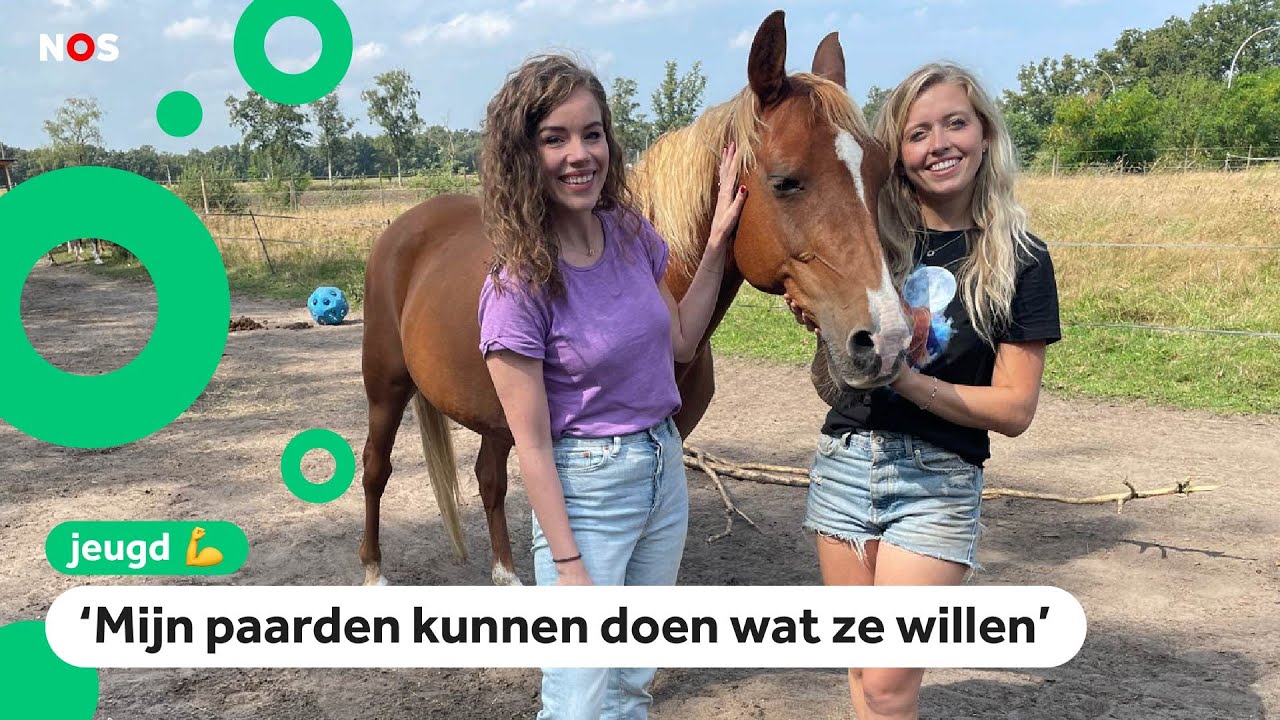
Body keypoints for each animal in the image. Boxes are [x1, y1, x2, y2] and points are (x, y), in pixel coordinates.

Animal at [358, 11, 912, 587]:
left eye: (879, 175)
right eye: (785, 180)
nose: (888, 340)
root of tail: (407, 225)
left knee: (489, 477)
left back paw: (505, 573)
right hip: (386, 386)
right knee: (376, 468)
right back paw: (374, 571)